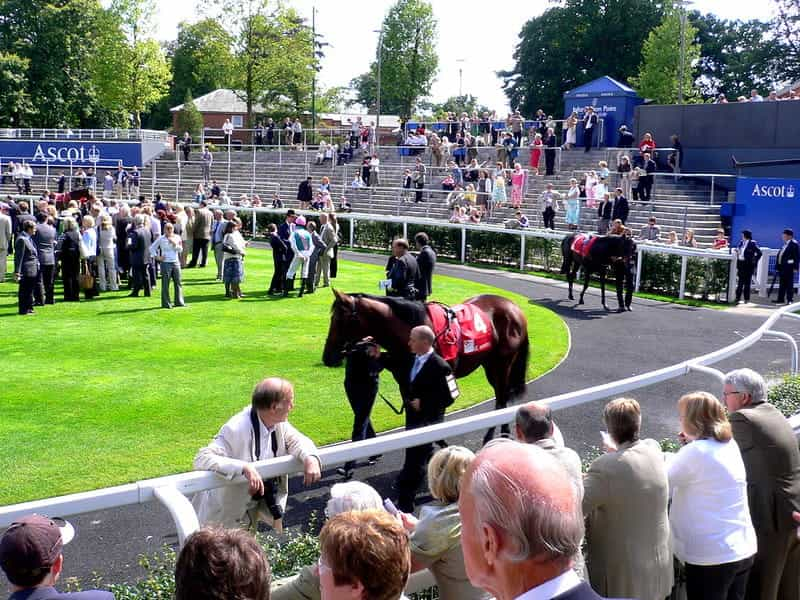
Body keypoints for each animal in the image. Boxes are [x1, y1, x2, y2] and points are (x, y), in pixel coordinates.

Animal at [322, 290, 528, 440]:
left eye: (338, 320)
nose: (327, 356)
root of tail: (514, 307)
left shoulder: (439, 387)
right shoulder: (406, 385)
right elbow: (412, 422)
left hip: (502, 365)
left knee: (501, 400)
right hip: (490, 365)